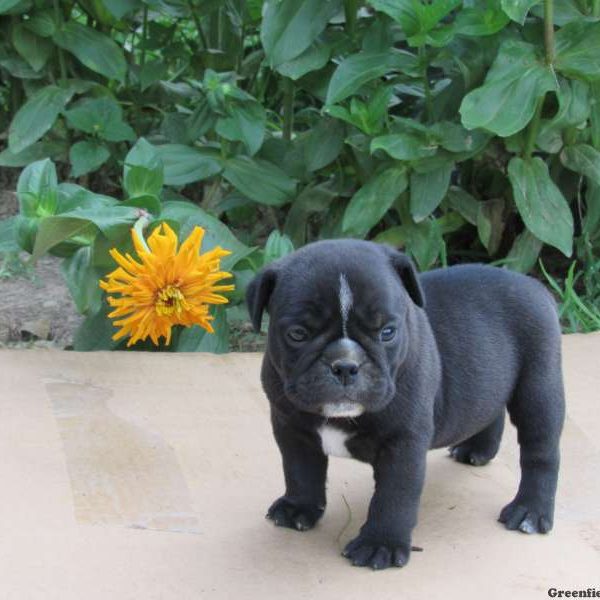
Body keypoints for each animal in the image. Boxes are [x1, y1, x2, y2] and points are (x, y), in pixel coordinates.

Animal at [246, 237, 564, 568]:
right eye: (297, 334)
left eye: (387, 332)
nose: (345, 365)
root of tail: (535, 287)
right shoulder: (292, 429)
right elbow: (300, 471)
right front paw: (299, 508)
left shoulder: (403, 443)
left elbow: (394, 495)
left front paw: (380, 544)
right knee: (490, 408)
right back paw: (475, 450)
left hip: (538, 387)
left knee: (541, 450)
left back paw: (530, 510)